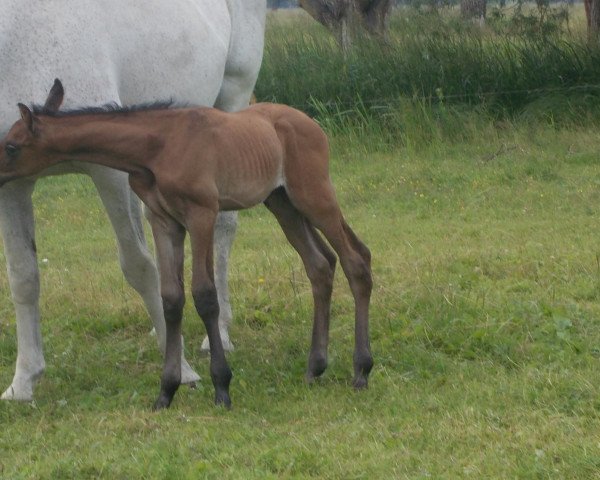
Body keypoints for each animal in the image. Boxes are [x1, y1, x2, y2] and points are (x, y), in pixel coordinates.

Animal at [0, 0, 268, 402]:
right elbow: (23, 277)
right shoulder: (13, 184)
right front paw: (23, 382)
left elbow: (137, 265)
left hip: (233, 99)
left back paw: (218, 332)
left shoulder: (109, 173)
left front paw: (183, 371)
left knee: (222, 227)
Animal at [0, 80, 372, 410]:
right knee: (320, 264)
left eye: (12, 146)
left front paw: (221, 387)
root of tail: (312, 124)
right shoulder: (165, 222)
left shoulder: (201, 214)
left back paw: (361, 370)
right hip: (283, 204)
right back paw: (315, 367)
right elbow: (171, 299)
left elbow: (205, 295)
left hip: (313, 195)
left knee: (356, 259)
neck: (158, 147)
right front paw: (166, 391)